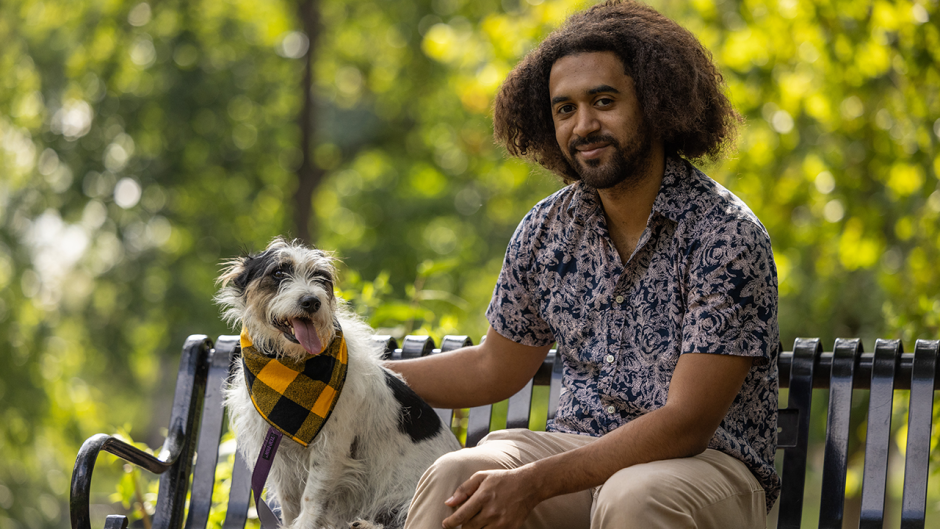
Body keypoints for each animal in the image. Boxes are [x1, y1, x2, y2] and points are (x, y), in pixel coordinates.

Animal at [217, 238, 458, 528]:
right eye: (278, 272)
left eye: (321, 278)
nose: (312, 301)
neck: (291, 367)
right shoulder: (278, 452)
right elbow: (289, 502)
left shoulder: (332, 447)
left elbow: (312, 498)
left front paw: (305, 525)